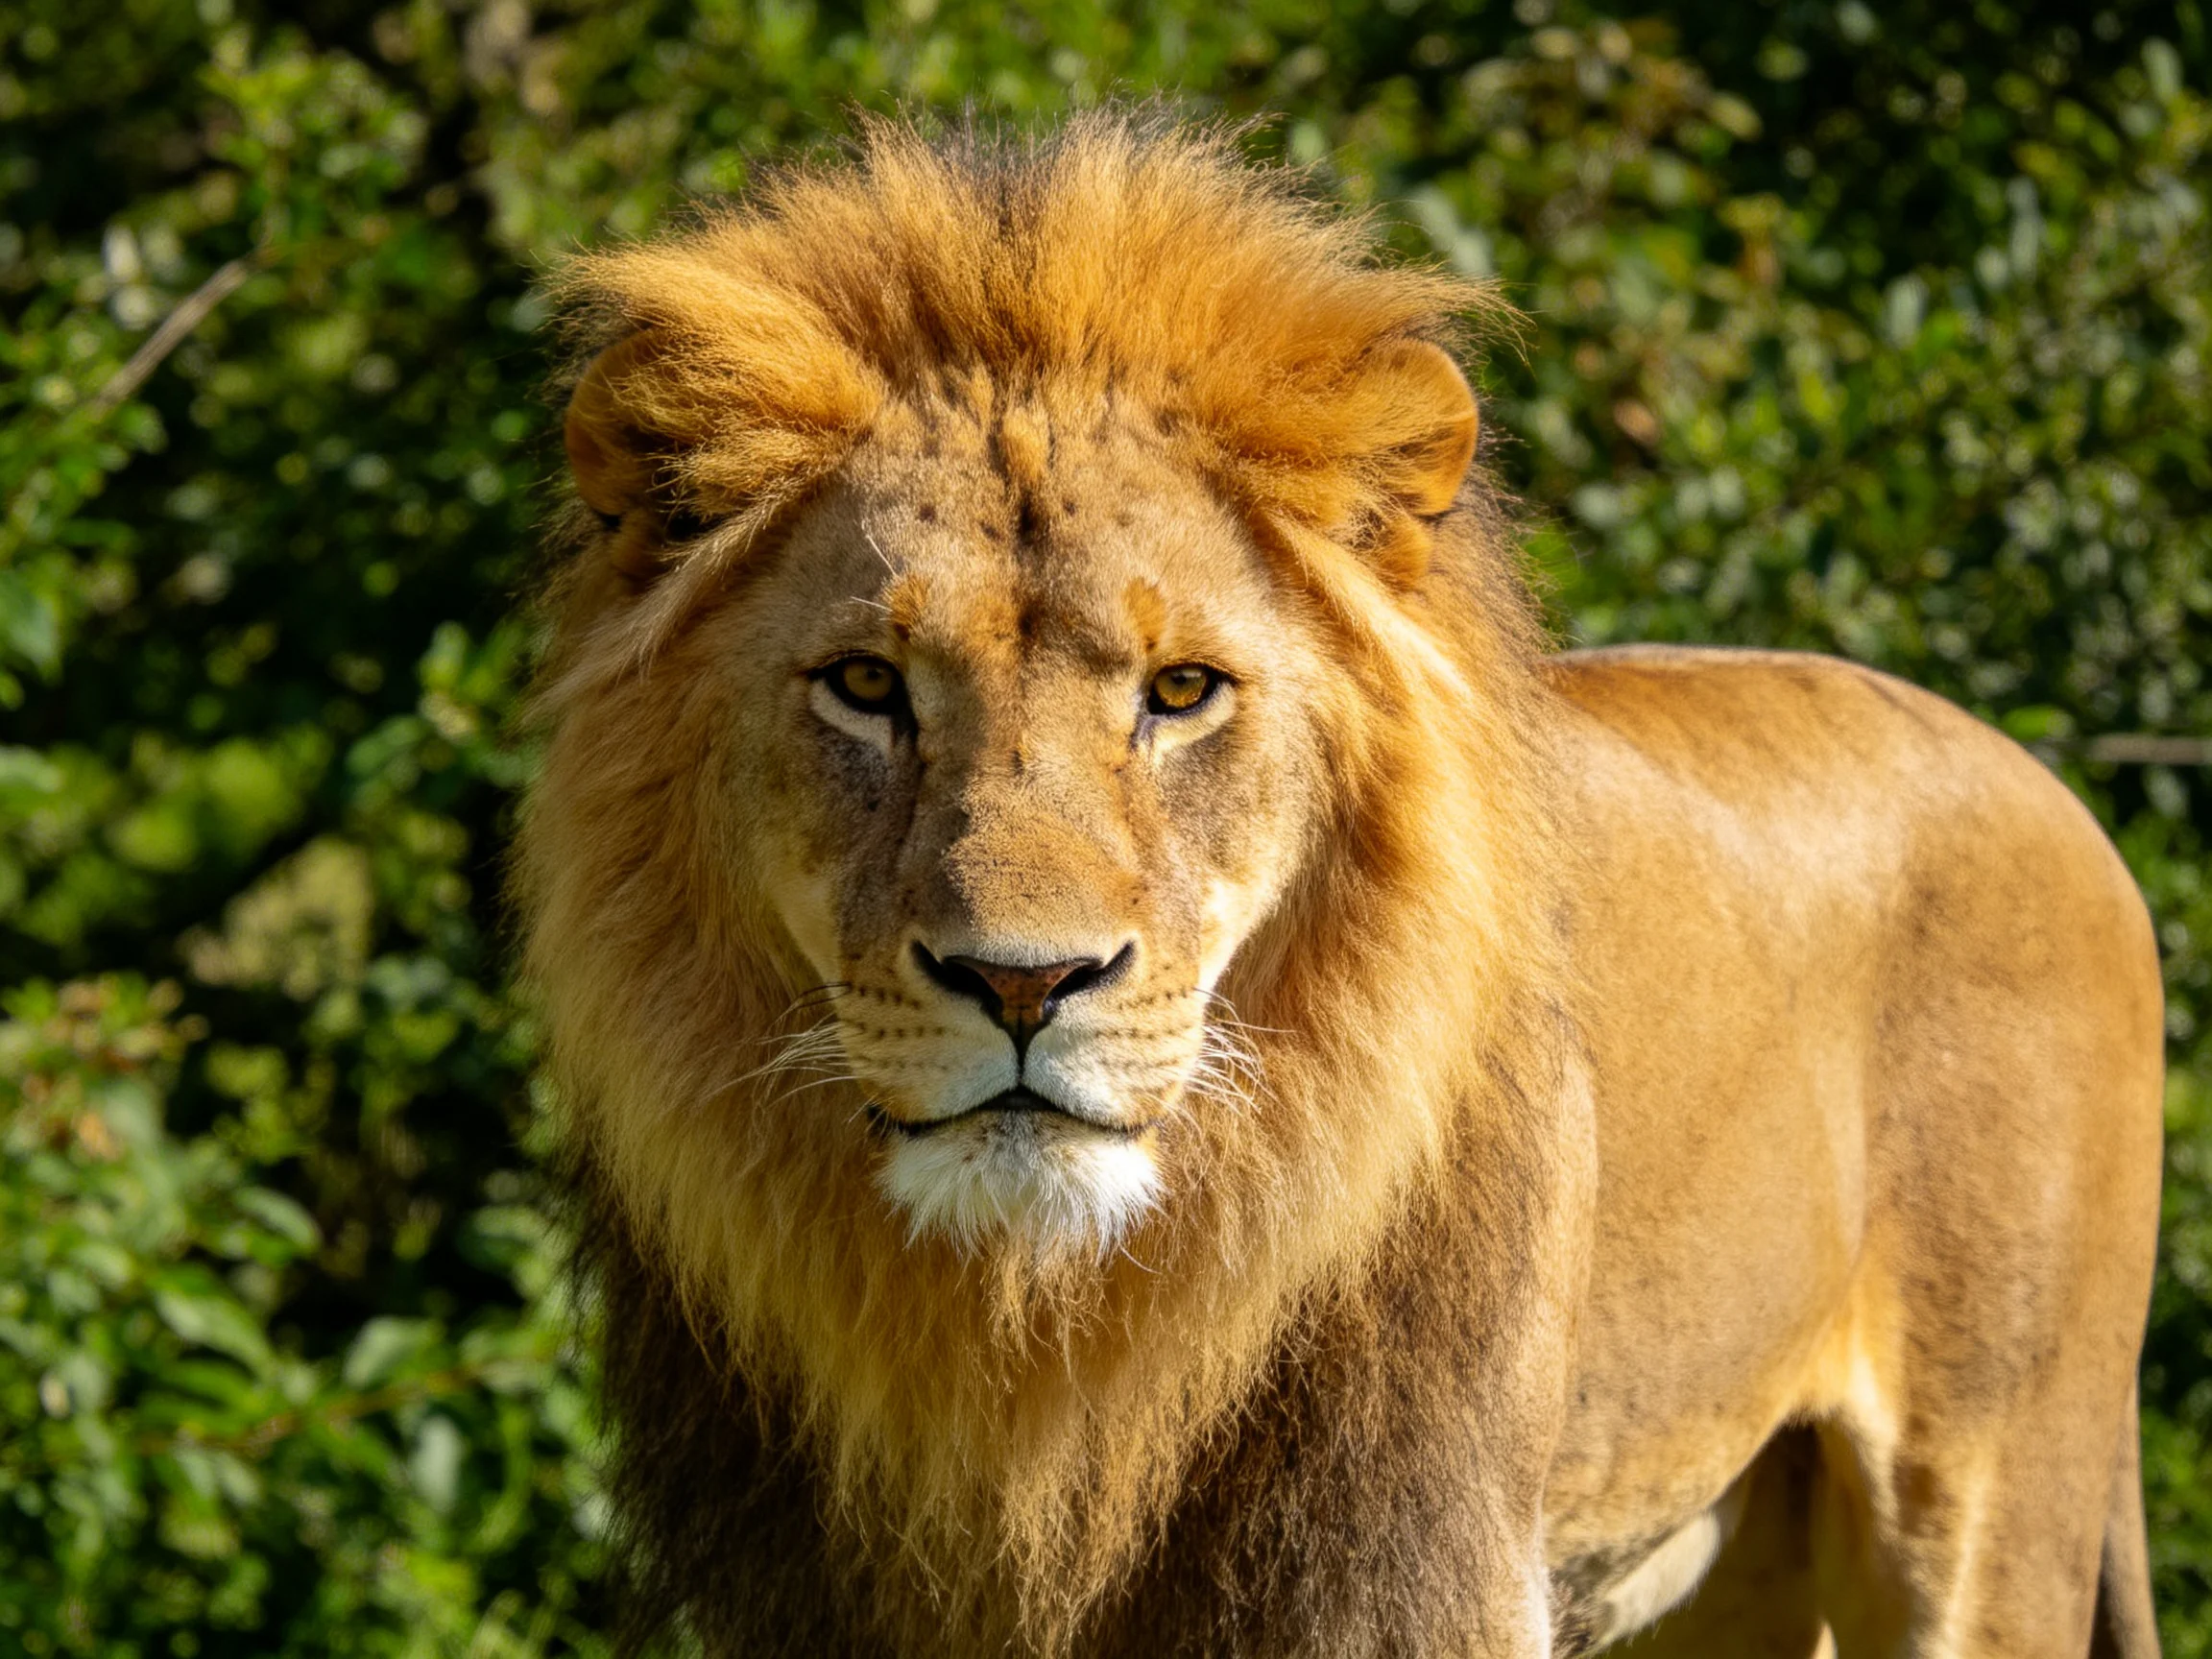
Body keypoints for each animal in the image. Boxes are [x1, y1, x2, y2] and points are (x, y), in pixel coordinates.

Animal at [514, 114, 2166, 1658]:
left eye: (1182, 691)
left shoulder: (1411, 1570)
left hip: (1988, 1495)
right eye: (866, 685)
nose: (1024, 983)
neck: (1038, 1349)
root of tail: (2049, 789)